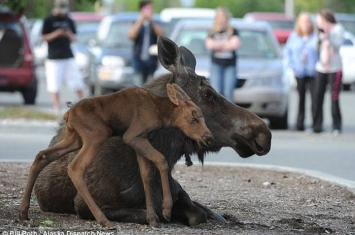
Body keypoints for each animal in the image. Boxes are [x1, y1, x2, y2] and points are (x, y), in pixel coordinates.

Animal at [19, 83, 213, 228]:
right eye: (193, 119)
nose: (208, 137)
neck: (161, 114)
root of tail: (68, 115)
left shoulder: (140, 139)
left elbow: (146, 175)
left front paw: (152, 219)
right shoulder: (133, 135)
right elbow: (162, 161)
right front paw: (166, 209)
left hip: (75, 138)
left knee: (42, 156)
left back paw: (23, 212)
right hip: (97, 134)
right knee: (75, 168)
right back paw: (104, 220)